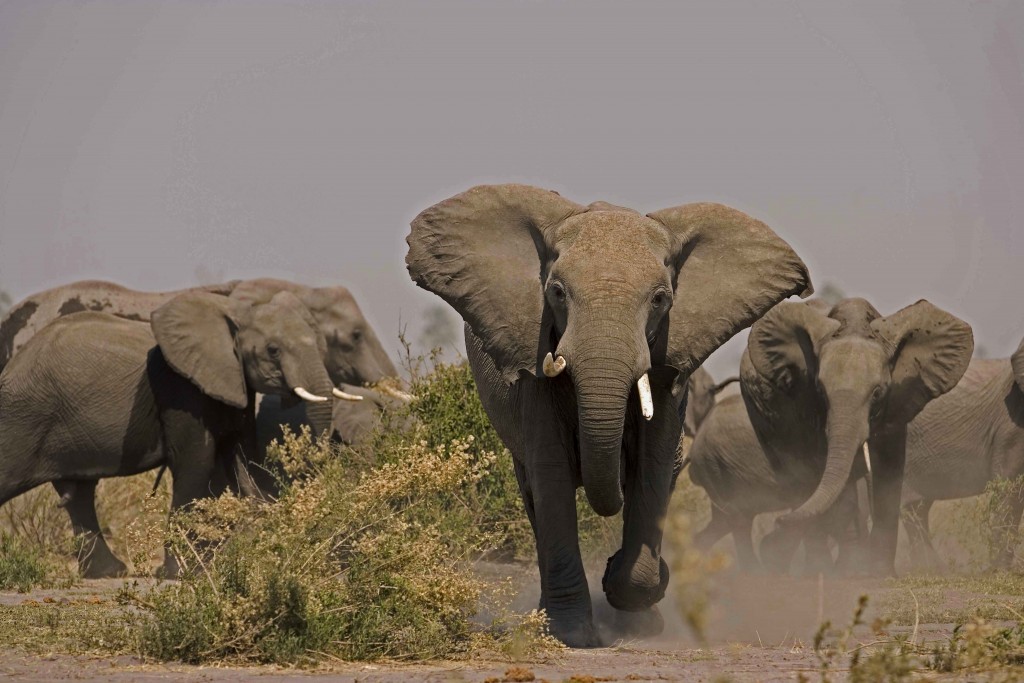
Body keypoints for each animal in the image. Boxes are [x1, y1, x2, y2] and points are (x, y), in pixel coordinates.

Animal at [0, 290, 335, 581]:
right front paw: (183, 574)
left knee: (80, 493)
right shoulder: (181, 390)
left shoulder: (233, 384)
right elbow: (196, 465)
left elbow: (238, 460)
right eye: (273, 350)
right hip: (24, 415)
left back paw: (108, 573)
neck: (235, 313)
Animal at [403, 183, 811, 647]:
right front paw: (574, 634)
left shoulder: (668, 365)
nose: (612, 563)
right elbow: (552, 476)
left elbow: (652, 469)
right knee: (533, 494)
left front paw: (635, 603)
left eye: (660, 300)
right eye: (557, 293)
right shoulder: (535, 364)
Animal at [716, 296, 970, 573]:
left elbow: (889, 475)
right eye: (819, 389)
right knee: (798, 479)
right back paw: (817, 566)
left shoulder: (896, 405)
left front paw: (879, 572)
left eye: (878, 392)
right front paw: (849, 571)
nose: (778, 523)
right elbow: (836, 485)